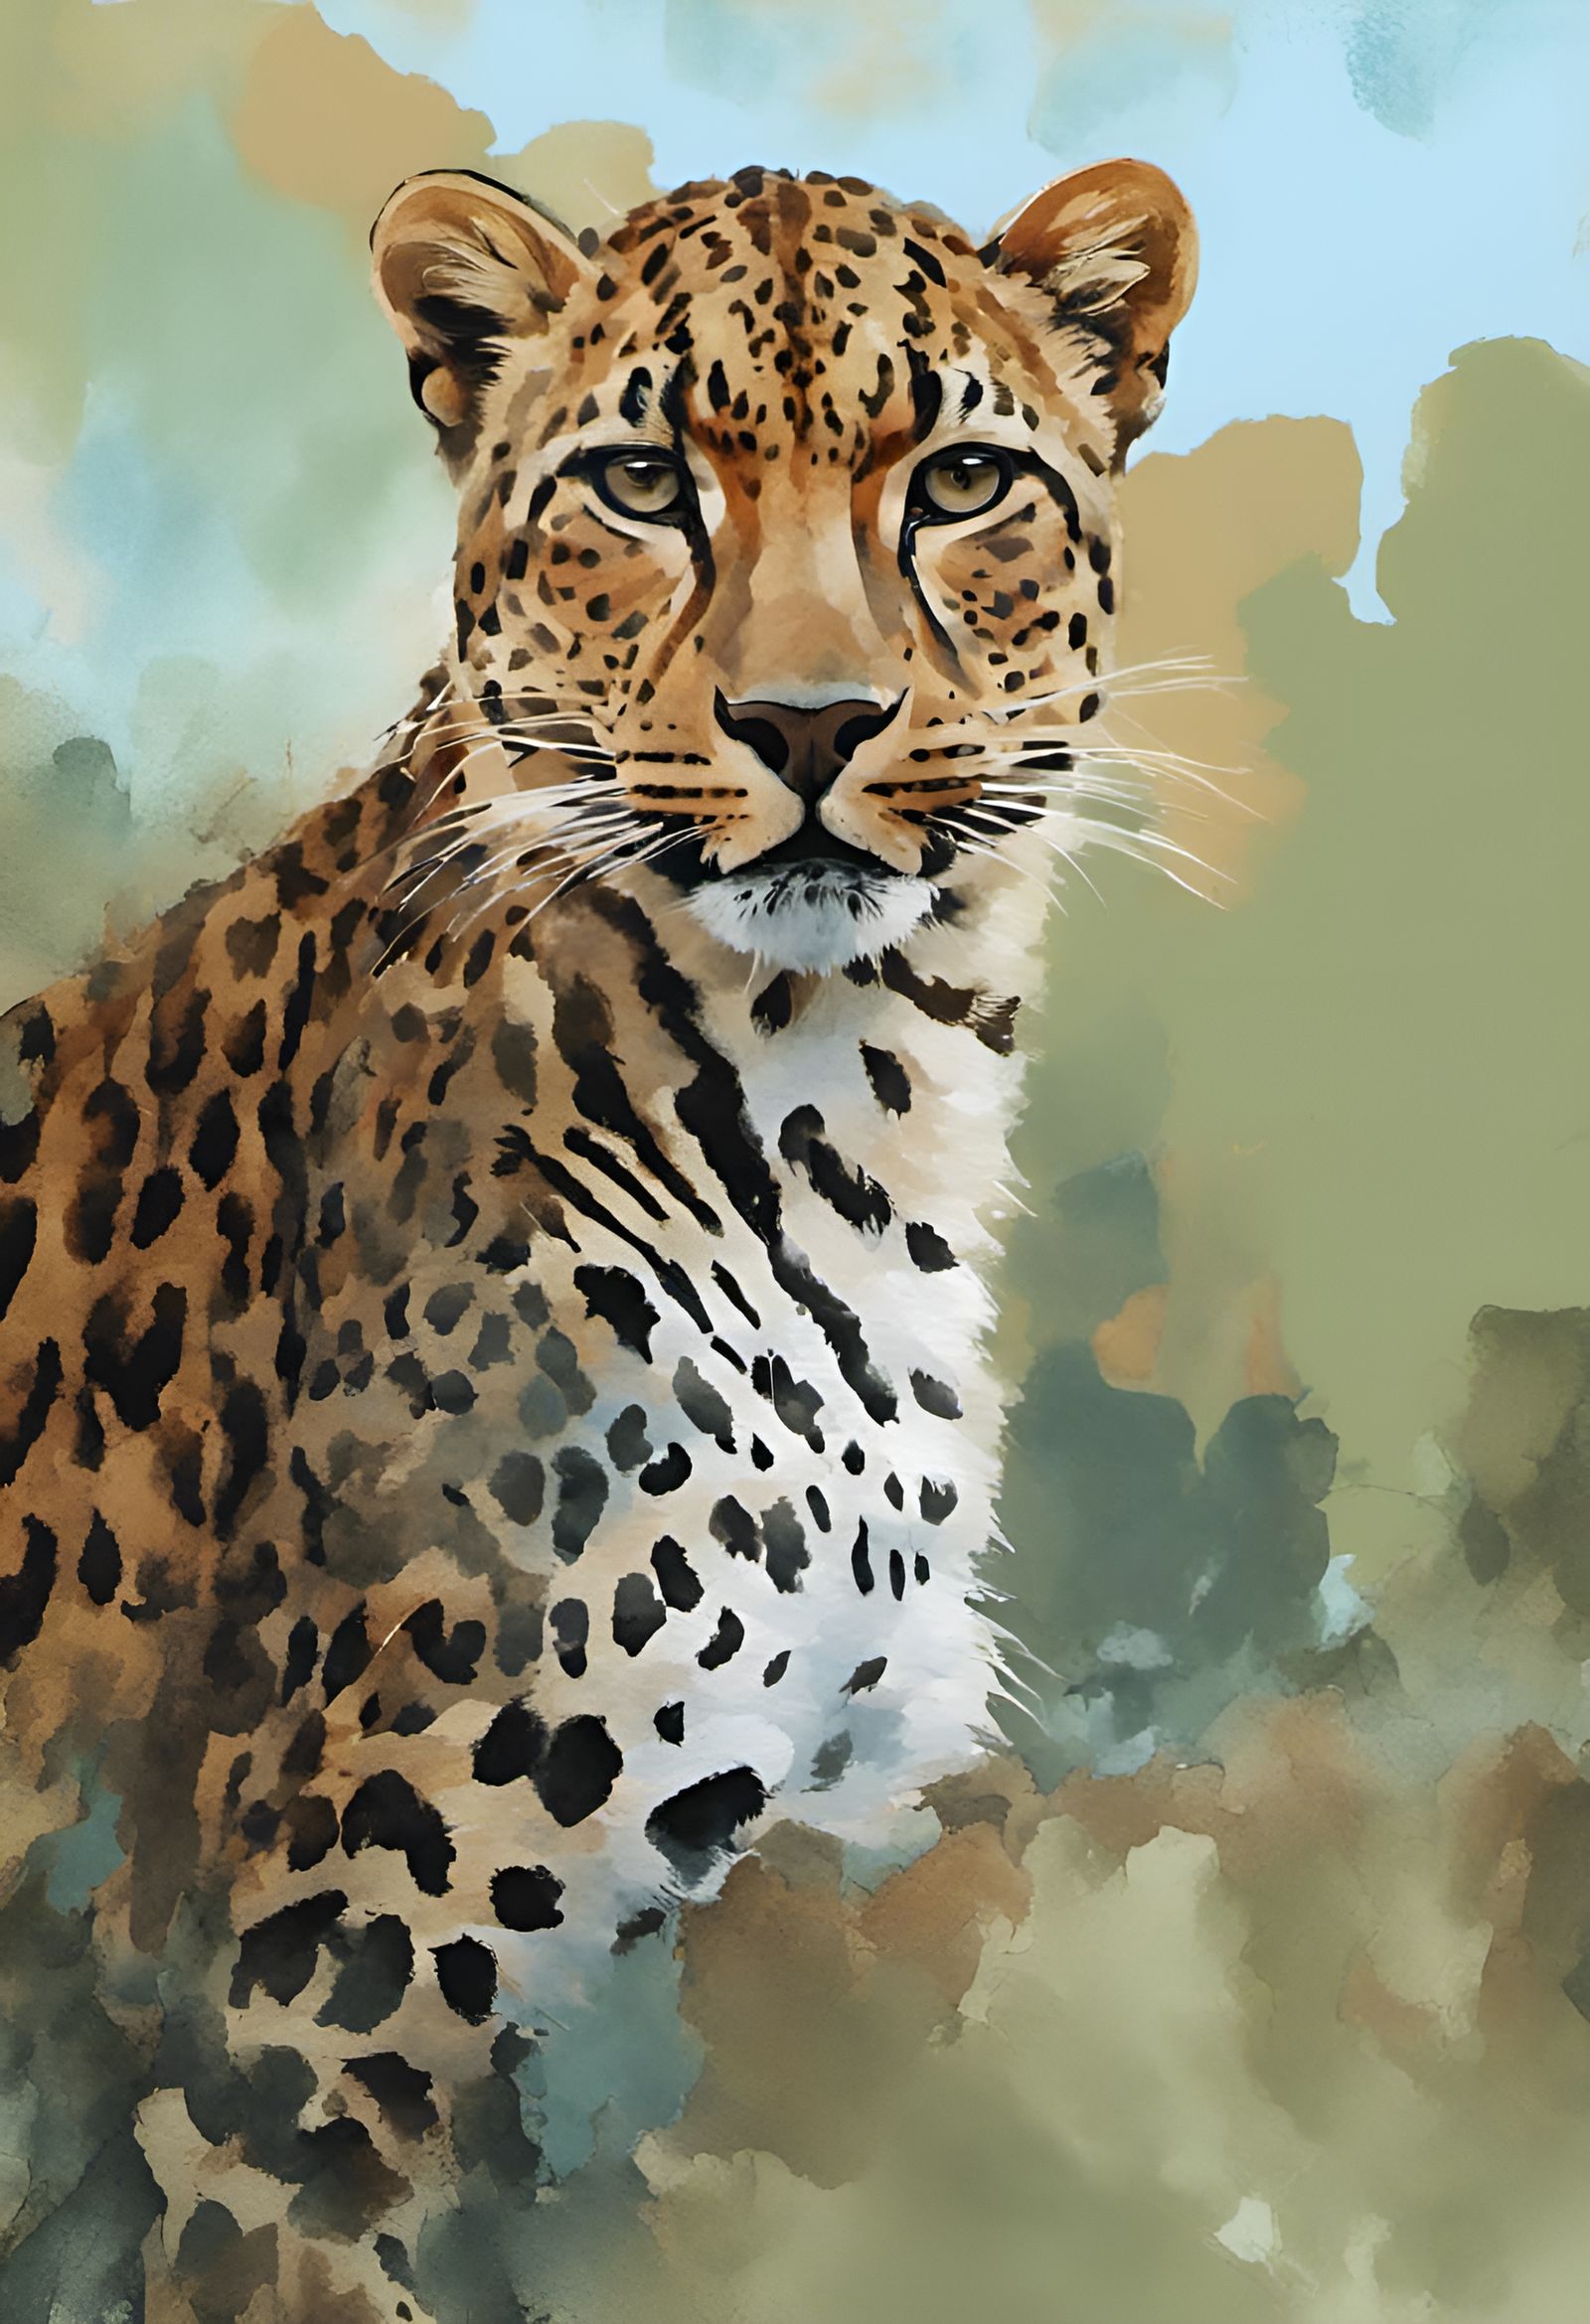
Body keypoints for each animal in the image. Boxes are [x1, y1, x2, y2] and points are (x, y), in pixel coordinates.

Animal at [0, 158, 1194, 2321]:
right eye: (643, 481)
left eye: (961, 479)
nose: (809, 719)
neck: (843, 1116)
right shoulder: (282, 2067)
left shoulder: (841, 1834)